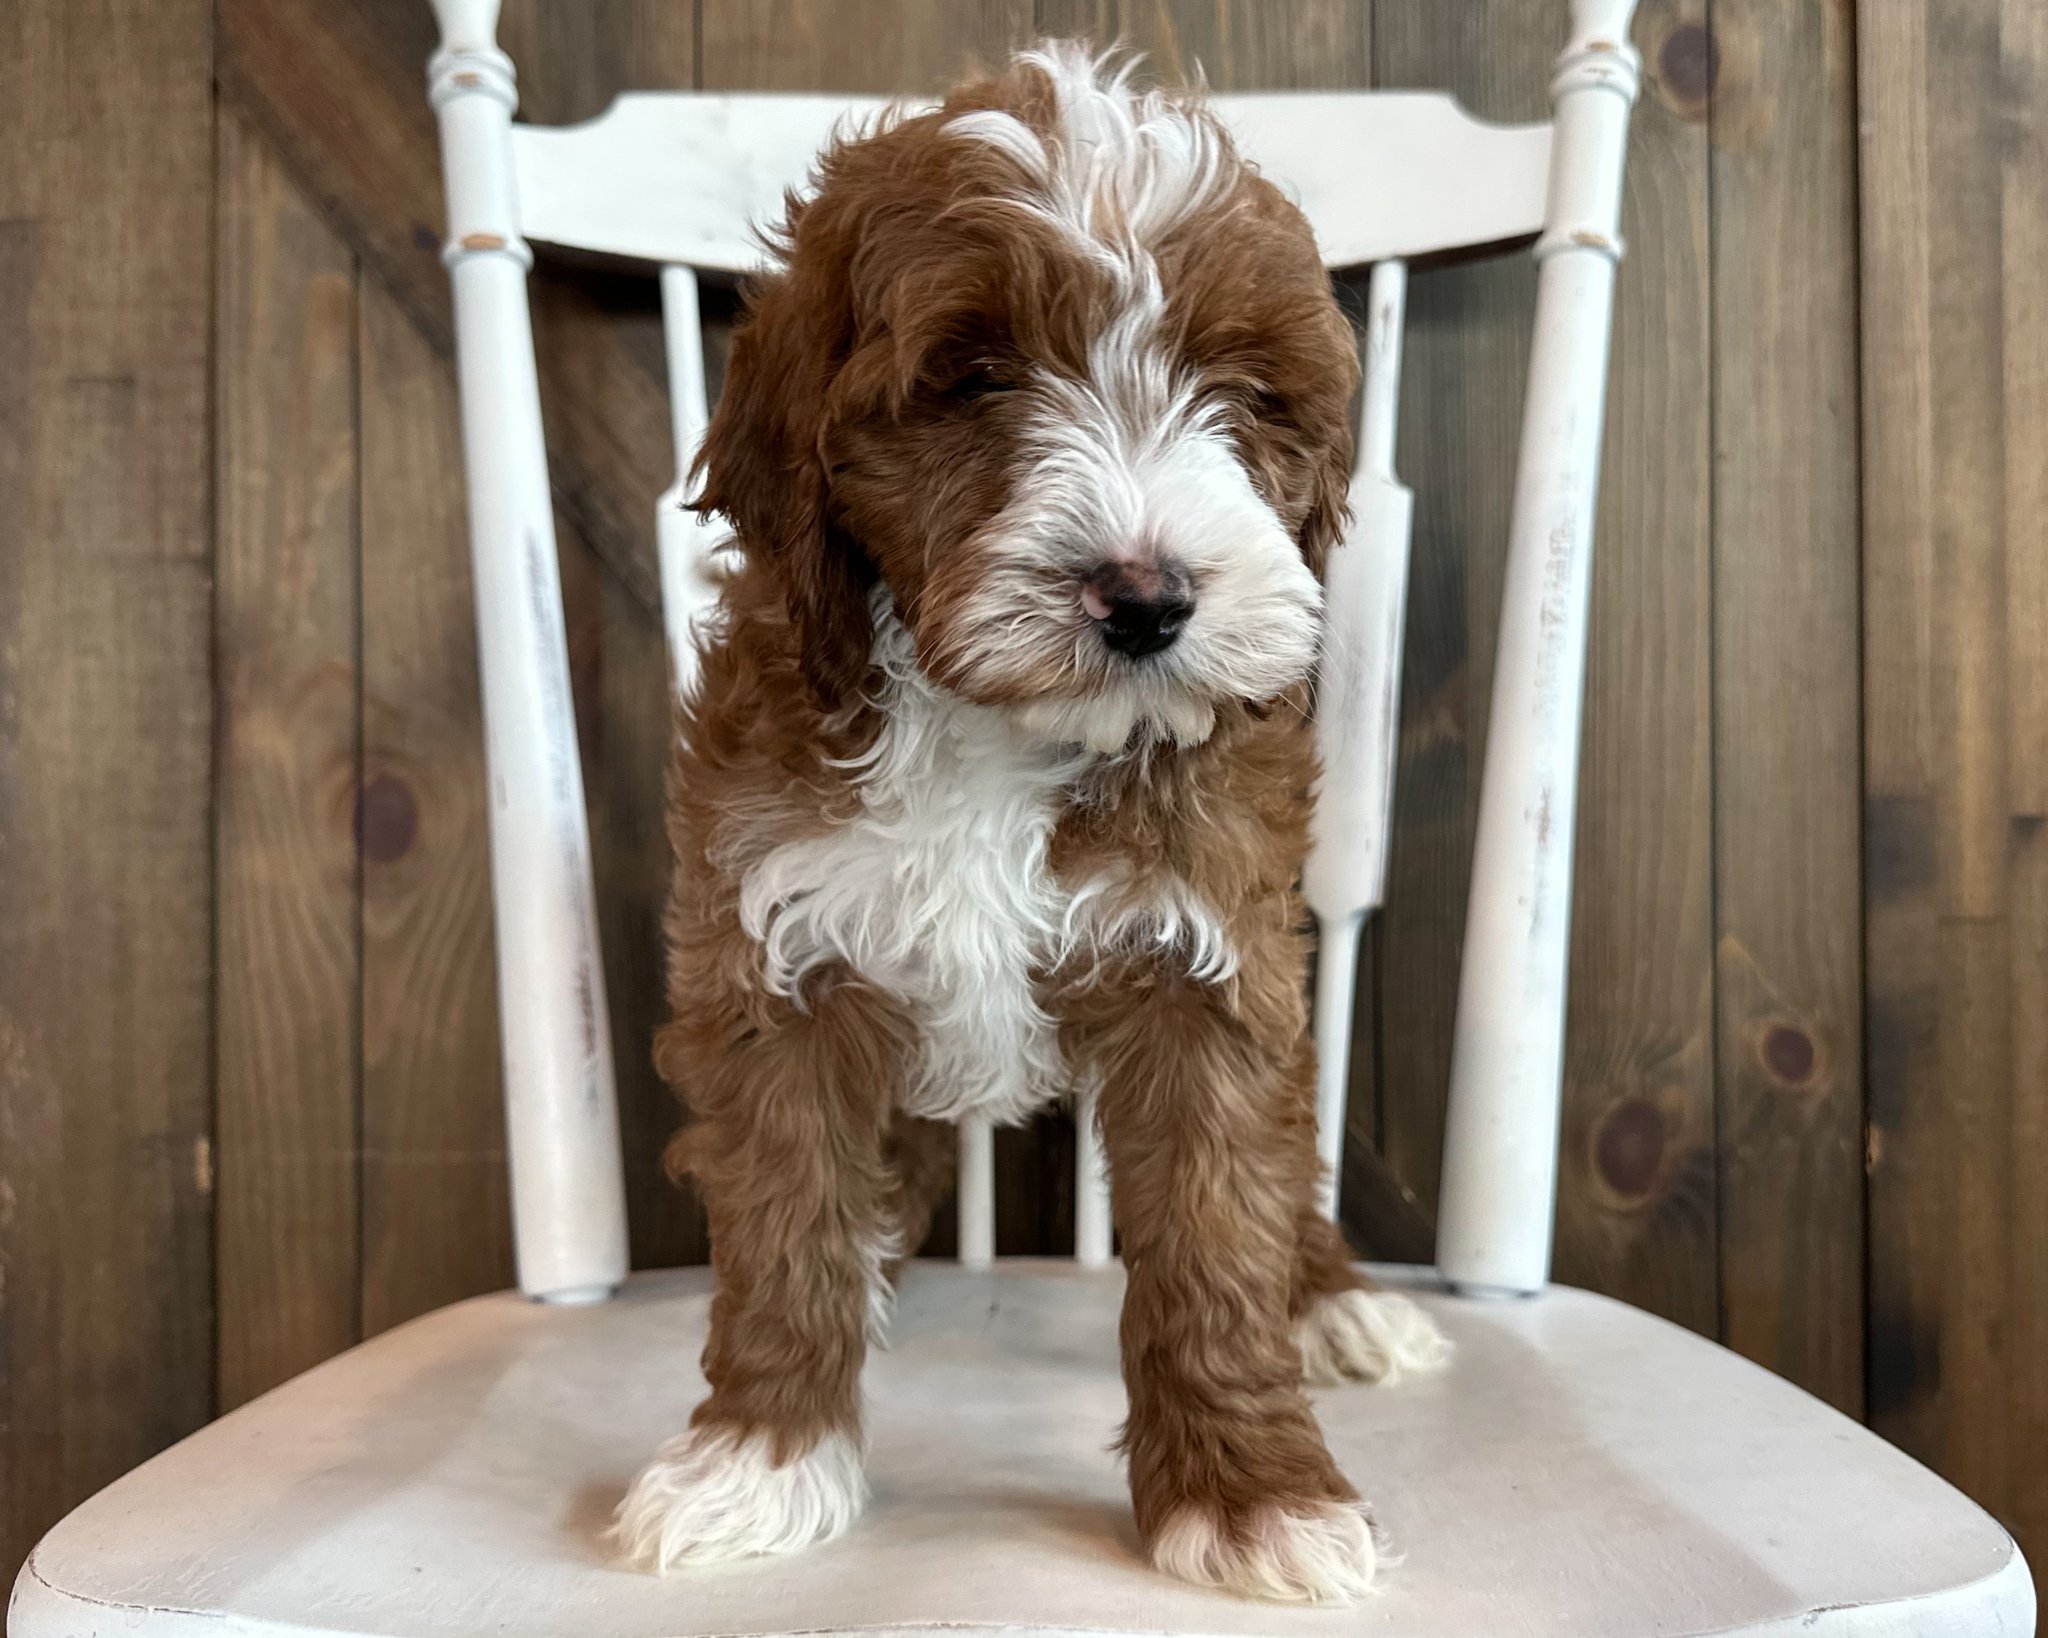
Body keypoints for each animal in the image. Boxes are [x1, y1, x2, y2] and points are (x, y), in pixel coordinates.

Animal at [614, 41, 1449, 1613]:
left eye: (1243, 392)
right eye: (973, 377)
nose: (1146, 598)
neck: (996, 722)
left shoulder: (1211, 951)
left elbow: (1219, 1232)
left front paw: (1254, 1497)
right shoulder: (771, 952)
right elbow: (784, 1225)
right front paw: (758, 1462)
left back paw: (1337, 1301)